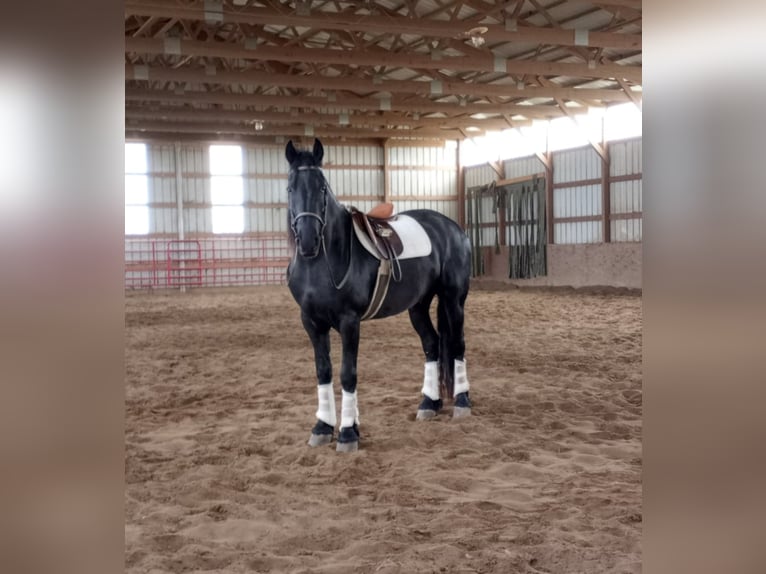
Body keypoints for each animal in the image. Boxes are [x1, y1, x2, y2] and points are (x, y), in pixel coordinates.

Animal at [284, 140, 472, 454]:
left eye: (322, 188)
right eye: (290, 188)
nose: (309, 240)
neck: (324, 261)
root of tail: (453, 229)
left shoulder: (349, 322)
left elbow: (348, 373)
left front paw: (348, 433)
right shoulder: (311, 322)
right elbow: (323, 371)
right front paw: (322, 427)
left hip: (453, 300)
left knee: (456, 345)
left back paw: (462, 402)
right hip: (418, 306)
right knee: (432, 345)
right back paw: (428, 403)